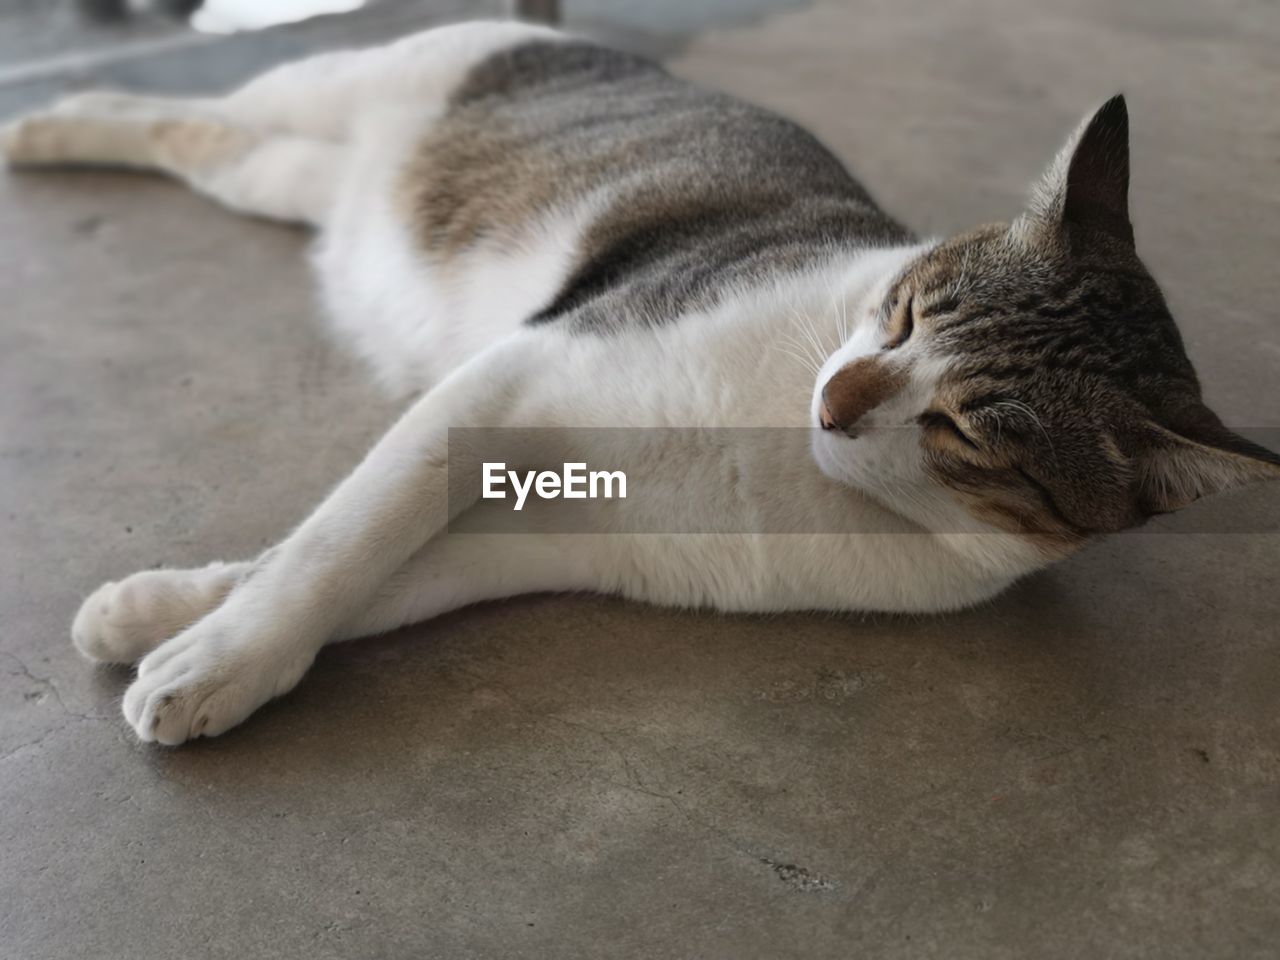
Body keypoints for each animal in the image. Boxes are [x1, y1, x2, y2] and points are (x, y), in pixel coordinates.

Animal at [5, 20, 1274, 742]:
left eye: (967, 433)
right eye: (907, 311)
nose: (833, 401)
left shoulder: (560, 538)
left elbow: (374, 569)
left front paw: (170, 620)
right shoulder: (514, 374)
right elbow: (340, 540)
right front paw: (220, 650)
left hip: (287, 179)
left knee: (203, 142)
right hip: (339, 87)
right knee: (201, 107)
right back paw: (47, 122)